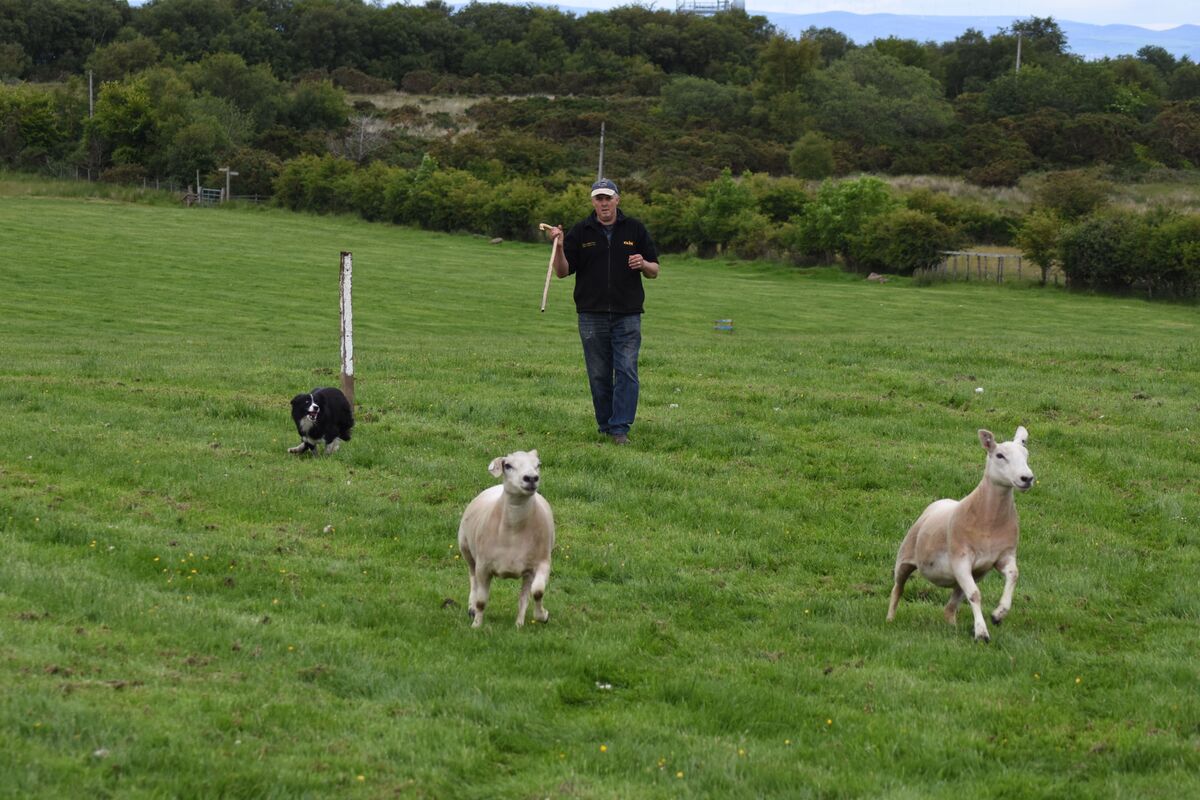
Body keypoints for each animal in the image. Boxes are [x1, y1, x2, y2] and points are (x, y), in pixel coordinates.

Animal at [456, 450, 554, 623]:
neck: (513, 531)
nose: (531, 478)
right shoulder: (483, 567)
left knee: (524, 596)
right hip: (467, 551)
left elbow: (537, 592)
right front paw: (476, 624)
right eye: (508, 465)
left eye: (538, 465)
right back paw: (471, 608)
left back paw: (519, 623)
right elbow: (481, 601)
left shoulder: (542, 562)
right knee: (472, 579)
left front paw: (542, 615)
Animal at [892, 424, 1032, 642]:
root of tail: (940, 501)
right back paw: (889, 620)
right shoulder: (961, 557)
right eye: (1000, 455)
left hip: (965, 576)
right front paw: (982, 633)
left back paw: (952, 627)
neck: (990, 522)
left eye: (1026, 455)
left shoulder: (1004, 556)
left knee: (950, 606)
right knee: (898, 588)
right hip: (906, 556)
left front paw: (998, 615)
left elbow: (1014, 575)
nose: (1027, 478)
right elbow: (975, 595)